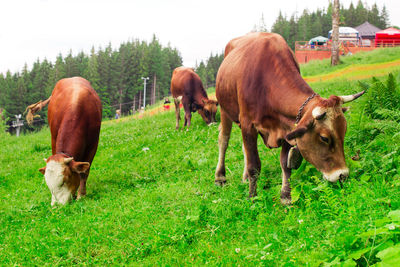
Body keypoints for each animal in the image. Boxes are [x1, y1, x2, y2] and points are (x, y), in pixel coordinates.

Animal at [25, 76, 101, 206]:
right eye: (48, 184)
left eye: (65, 180)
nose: (56, 206)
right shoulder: (53, 137)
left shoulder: (93, 144)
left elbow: (84, 172)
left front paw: (81, 195)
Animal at [214, 33, 364, 205]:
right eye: (324, 138)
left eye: (344, 132)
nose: (342, 175)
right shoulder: (248, 124)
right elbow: (254, 166)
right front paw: (253, 197)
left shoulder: (287, 126)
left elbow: (286, 164)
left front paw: (286, 196)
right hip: (225, 109)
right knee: (224, 140)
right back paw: (220, 177)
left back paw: (244, 177)